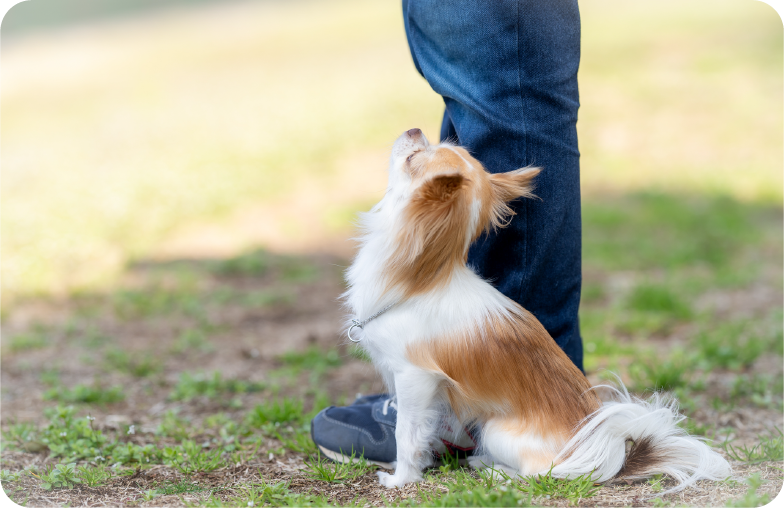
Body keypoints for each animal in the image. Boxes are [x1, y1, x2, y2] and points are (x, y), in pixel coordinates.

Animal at [344, 128, 728, 492]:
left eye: (414, 158)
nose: (414, 130)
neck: (419, 281)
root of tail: (607, 458)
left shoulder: (414, 378)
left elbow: (406, 434)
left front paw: (401, 479)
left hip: (497, 428)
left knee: (540, 473)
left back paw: (496, 472)